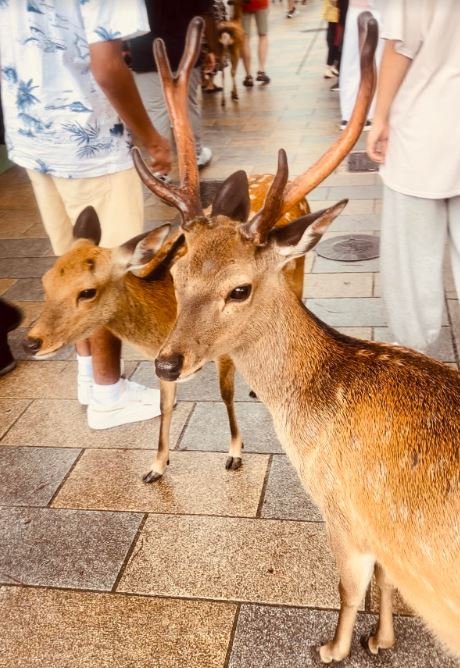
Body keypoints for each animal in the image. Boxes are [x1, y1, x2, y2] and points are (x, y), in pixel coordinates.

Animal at [131, 13, 460, 665]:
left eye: (239, 289)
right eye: (178, 273)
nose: (166, 364)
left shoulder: (343, 508)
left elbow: (351, 584)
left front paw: (333, 647)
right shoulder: (377, 526)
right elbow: (387, 577)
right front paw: (382, 639)